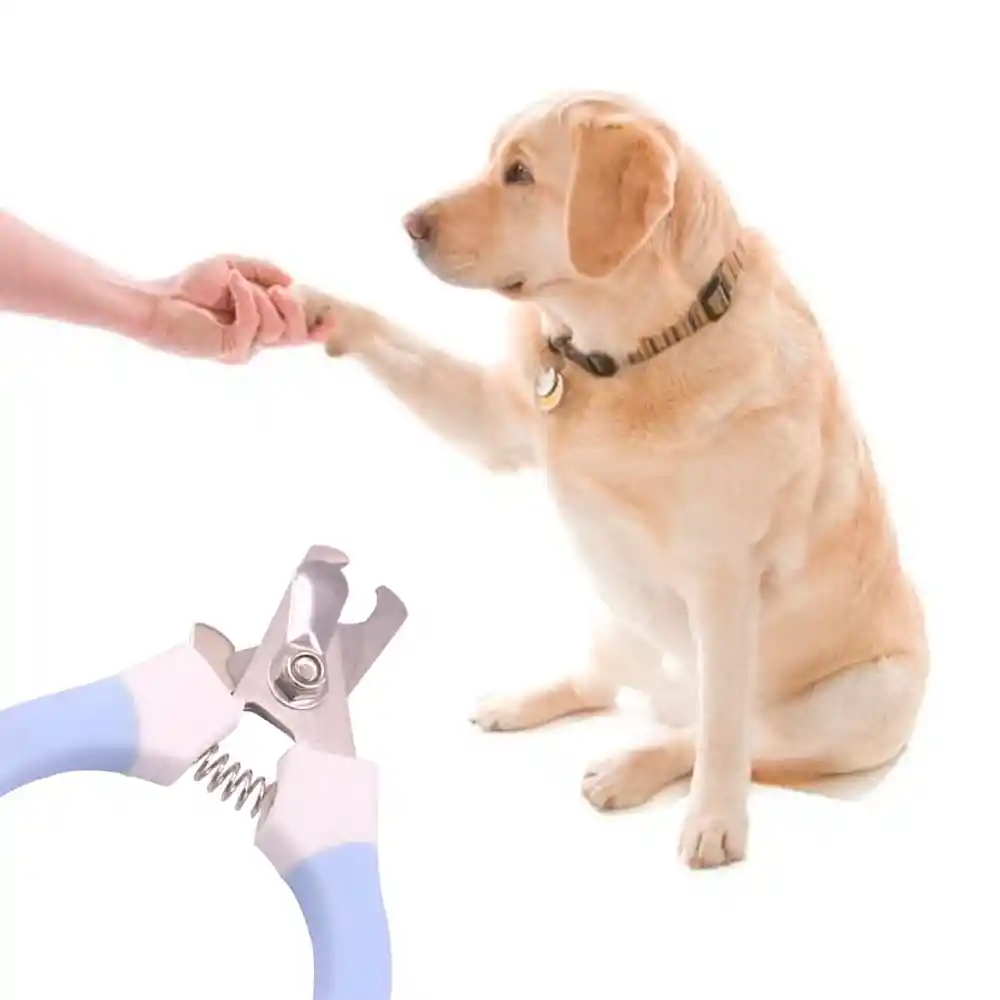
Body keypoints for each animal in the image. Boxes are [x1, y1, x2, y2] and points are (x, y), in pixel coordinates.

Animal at [298, 94, 928, 868]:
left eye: (519, 174)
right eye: (490, 161)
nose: (410, 223)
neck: (629, 356)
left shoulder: (725, 585)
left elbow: (723, 736)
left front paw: (715, 820)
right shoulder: (498, 421)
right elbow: (400, 341)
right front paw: (316, 305)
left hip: (865, 696)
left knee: (720, 735)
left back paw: (630, 769)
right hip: (613, 611)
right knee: (599, 685)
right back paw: (522, 702)